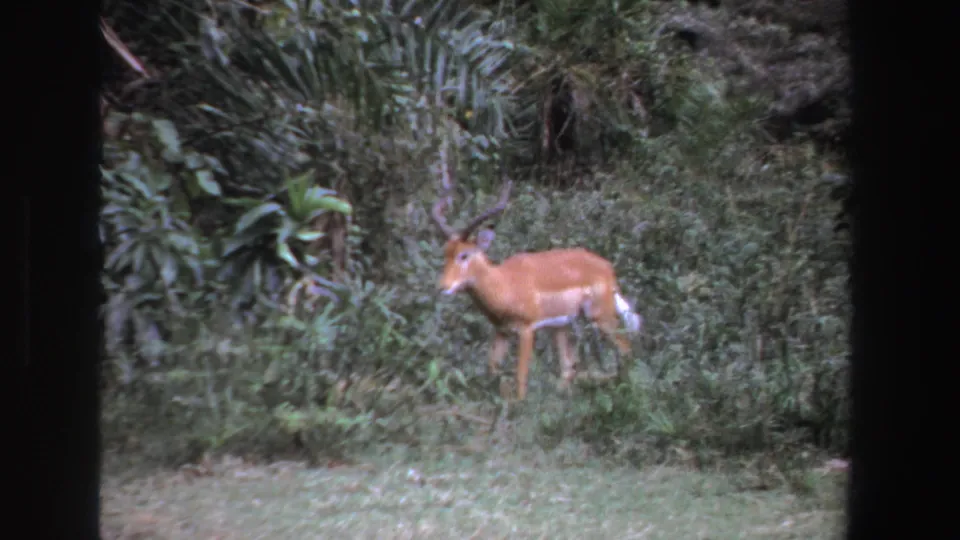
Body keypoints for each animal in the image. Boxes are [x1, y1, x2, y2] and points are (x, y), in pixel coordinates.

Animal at [431, 177, 643, 400]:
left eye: (464, 255)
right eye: (445, 253)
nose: (442, 287)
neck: (504, 283)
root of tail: (608, 269)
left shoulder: (526, 330)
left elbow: (520, 377)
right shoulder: (502, 331)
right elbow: (493, 369)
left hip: (601, 318)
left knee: (626, 348)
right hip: (561, 326)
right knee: (568, 367)